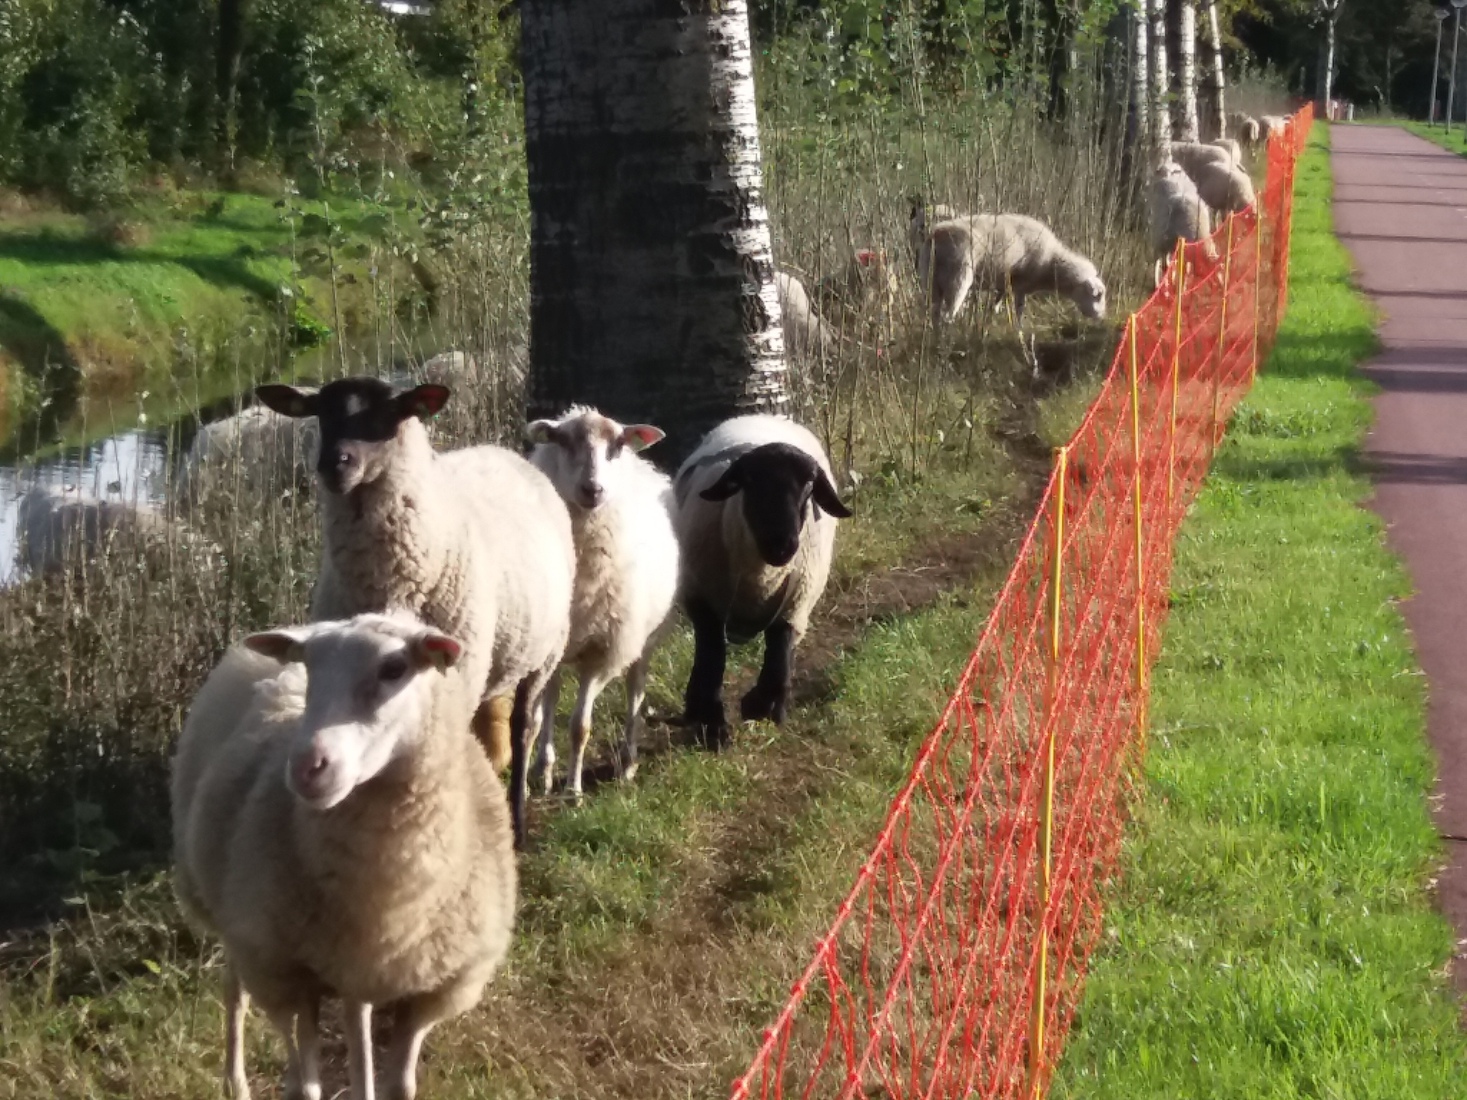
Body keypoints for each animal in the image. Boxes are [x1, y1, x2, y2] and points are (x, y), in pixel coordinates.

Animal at [171, 611, 516, 1100]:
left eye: (395, 668)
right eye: (310, 665)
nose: (306, 767)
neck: (386, 902)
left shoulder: (431, 989)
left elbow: (398, 1085)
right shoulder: (286, 972)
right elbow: (306, 1077)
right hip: (238, 926)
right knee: (239, 994)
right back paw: (236, 1081)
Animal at [254, 377, 575, 849]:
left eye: (389, 414)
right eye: (319, 413)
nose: (334, 465)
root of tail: (504, 452)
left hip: (543, 654)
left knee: (522, 728)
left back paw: (516, 820)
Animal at [526, 407, 680, 797]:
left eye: (618, 444)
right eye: (562, 441)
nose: (593, 489)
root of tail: (645, 466)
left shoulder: (602, 652)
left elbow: (579, 726)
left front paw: (573, 791)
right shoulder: (549, 651)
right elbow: (538, 719)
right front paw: (535, 779)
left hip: (643, 638)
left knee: (635, 693)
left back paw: (627, 763)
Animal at [673, 414, 852, 748]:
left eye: (809, 485)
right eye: (750, 482)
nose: (781, 545)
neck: (760, 577)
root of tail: (766, 416)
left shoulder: (795, 605)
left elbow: (780, 654)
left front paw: (762, 705)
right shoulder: (704, 602)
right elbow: (712, 657)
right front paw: (712, 725)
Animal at [915, 213, 1106, 327]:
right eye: (1097, 295)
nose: (1102, 316)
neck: (1051, 262)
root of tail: (938, 233)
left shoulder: (1003, 281)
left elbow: (996, 302)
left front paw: (991, 318)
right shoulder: (1021, 284)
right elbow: (1020, 308)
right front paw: (1018, 328)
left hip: (930, 280)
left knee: (934, 312)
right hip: (958, 277)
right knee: (947, 315)